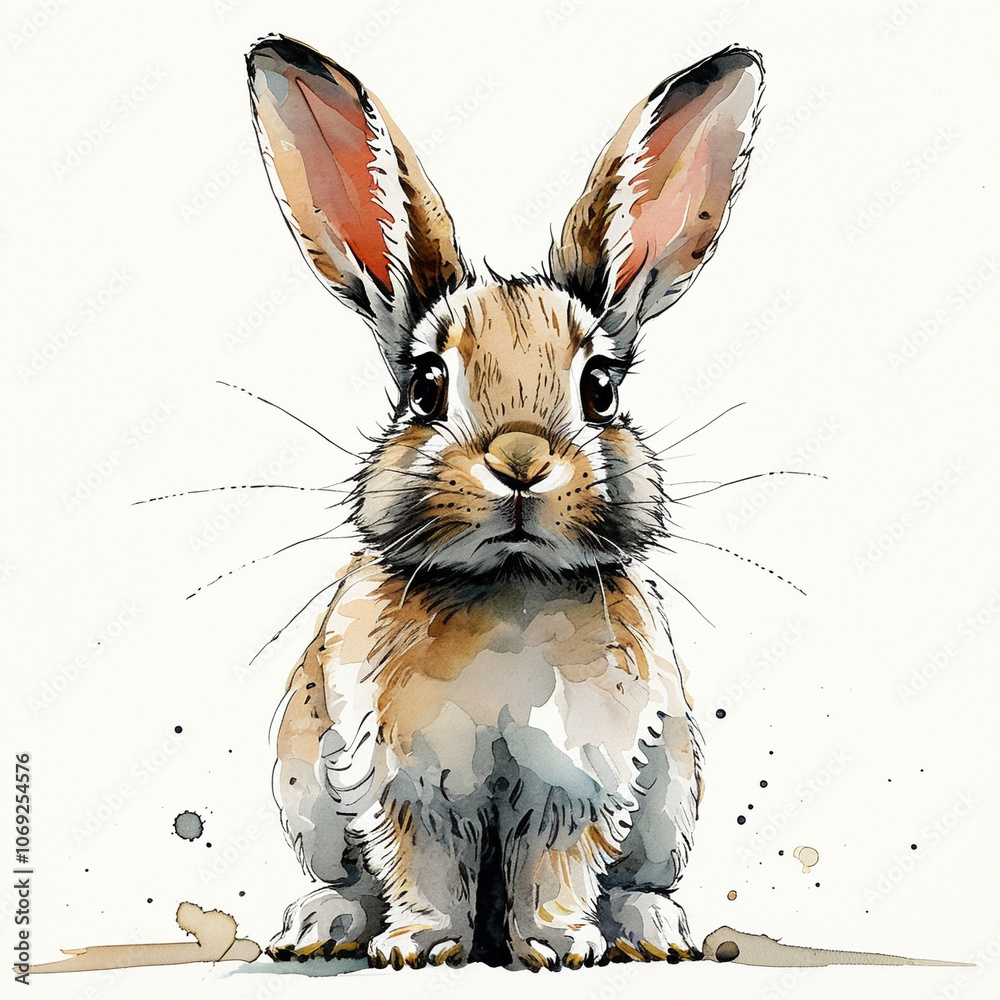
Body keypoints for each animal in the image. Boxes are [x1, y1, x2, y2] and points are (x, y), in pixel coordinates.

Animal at [247, 34, 763, 970]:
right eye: (425, 384)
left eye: (600, 388)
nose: (520, 461)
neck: (509, 585)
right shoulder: (403, 780)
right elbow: (421, 863)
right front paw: (416, 946)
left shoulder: (579, 773)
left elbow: (558, 863)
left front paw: (559, 946)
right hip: (304, 792)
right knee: (347, 878)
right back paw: (317, 925)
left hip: (672, 796)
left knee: (641, 877)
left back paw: (653, 930)